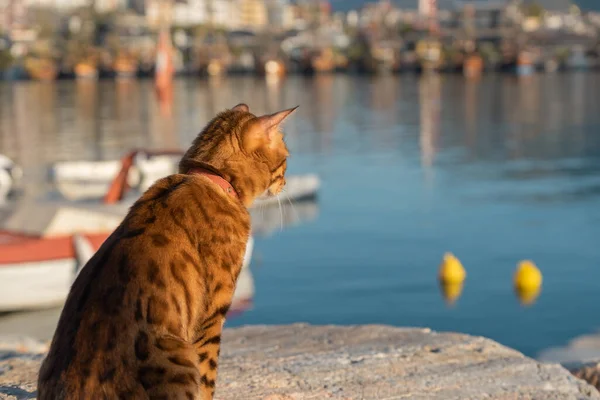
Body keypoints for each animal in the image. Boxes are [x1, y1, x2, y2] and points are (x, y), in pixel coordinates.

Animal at [37, 104, 296, 400]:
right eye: (285, 158)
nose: (286, 182)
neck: (212, 178)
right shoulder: (212, 315)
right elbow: (208, 376)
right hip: (178, 353)